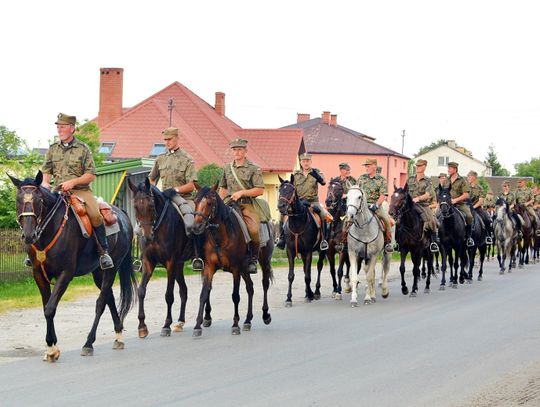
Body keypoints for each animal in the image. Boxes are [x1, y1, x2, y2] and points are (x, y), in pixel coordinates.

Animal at [9, 171, 137, 362]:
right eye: (18, 199)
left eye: (39, 200)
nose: (29, 235)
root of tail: (121, 214)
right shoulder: (38, 274)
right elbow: (46, 307)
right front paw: (51, 348)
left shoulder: (65, 274)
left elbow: (50, 309)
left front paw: (51, 347)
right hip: (98, 273)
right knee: (109, 299)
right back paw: (118, 335)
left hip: (111, 269)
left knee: (101, 303)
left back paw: (89, 343)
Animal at [127, 178, 192, 338]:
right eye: (135, 206)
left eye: (151, 205)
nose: (147, 236)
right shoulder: (148, 262)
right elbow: (141, 291)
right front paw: (142, 327)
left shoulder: (170, 263)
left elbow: (169, 295)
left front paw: (166, 325)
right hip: (179, 265)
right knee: (184, 290)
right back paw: (180, 322)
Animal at [191, 186, 274, 338]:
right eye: (195, 201)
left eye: (210, 203)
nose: (196, 226)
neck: (220, 237)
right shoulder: (209, 268)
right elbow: (204, 294)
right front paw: (197, 326)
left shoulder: (235, 269)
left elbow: (235, 296)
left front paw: (235, 325)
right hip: (244, 269)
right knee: (250, 288)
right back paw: (247, 320)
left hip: (264, 262)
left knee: (264, 284)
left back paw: (265, 315)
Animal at [278, 175, 324, 306]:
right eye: (279, 190)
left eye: (291, 190)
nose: (281, 206)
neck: (297, 223)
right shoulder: (290, 251)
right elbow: (291, 275)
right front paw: (289, 298)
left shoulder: (308, 251)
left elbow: (307, 276)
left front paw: (310, 295)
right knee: (305, 269)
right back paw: (308, 292)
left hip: (322, 250)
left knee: (319, 266)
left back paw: (316, 292)